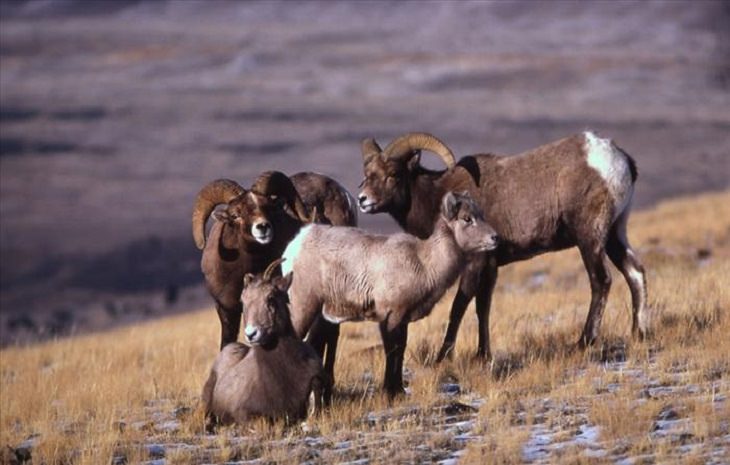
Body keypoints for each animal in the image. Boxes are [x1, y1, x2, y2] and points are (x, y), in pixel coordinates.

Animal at [282, 191, 498, 396]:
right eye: (467, 218)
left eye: (481, 214)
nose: (495, 238)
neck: (425, 264)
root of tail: (298, 244)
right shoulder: (390, 316)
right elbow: (392, 350)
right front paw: (390, 391)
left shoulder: (402, 319)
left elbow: (400, 350)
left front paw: (399, 390)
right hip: (303, 307)